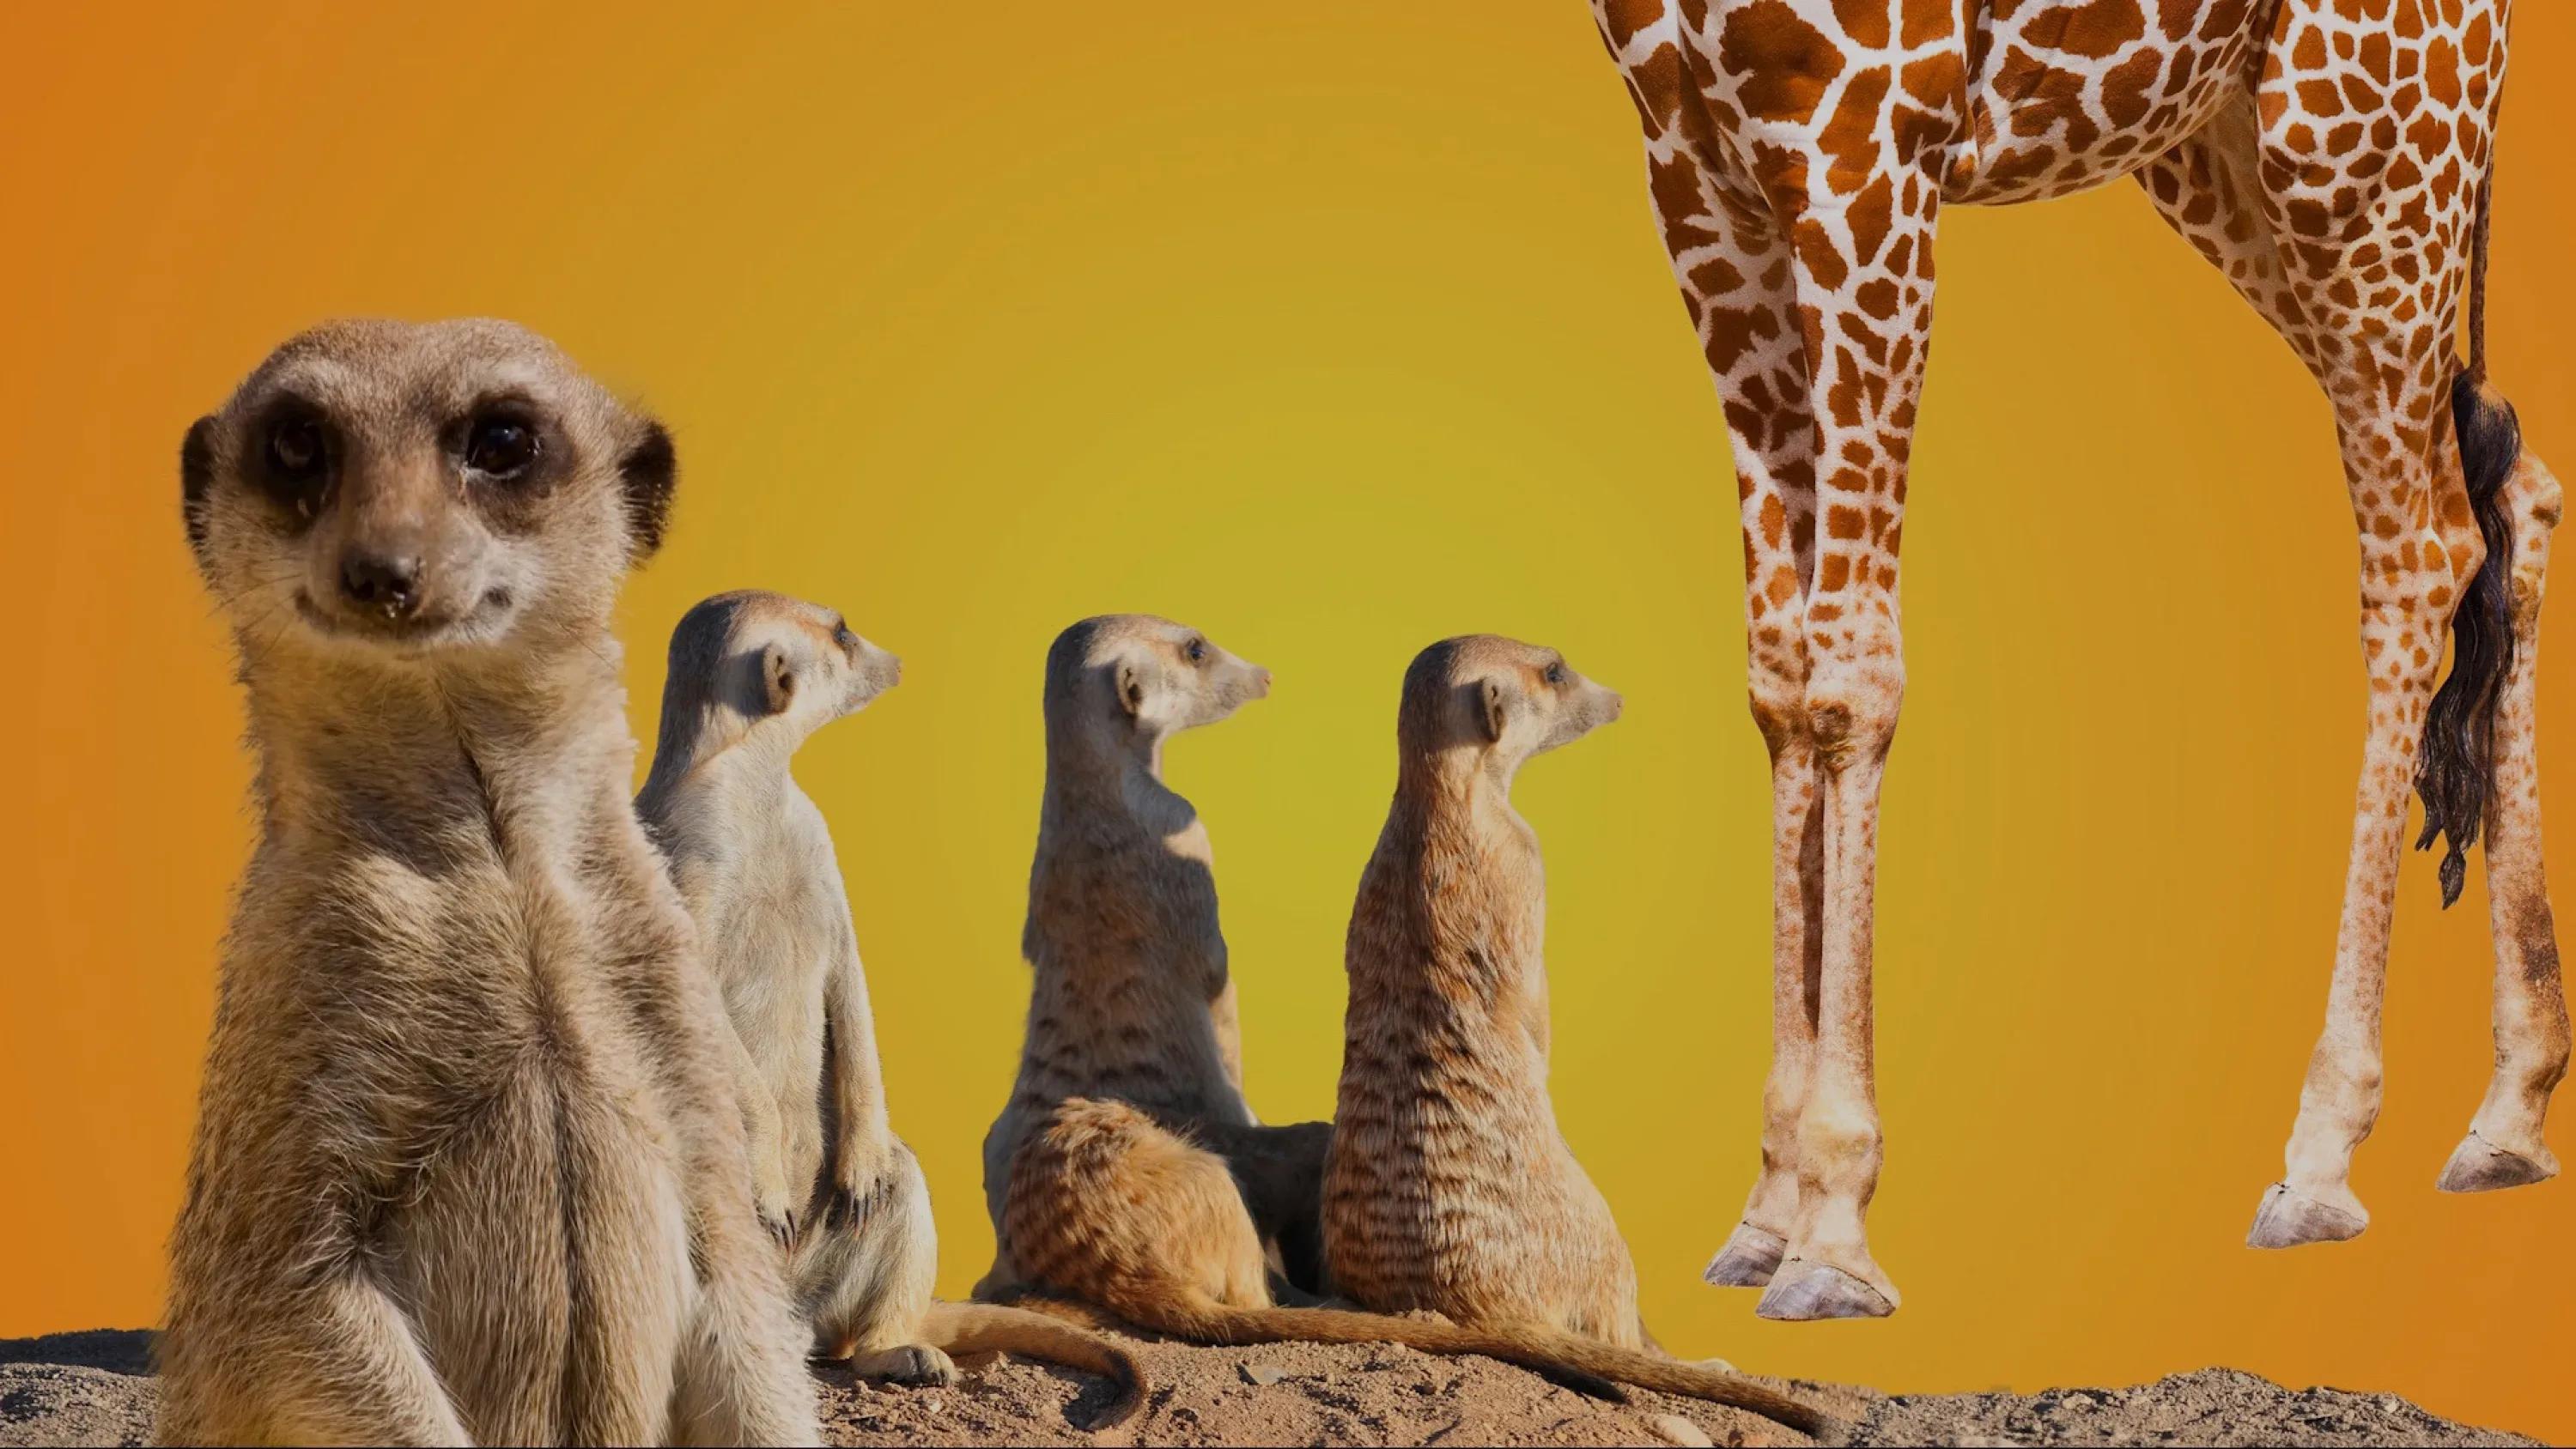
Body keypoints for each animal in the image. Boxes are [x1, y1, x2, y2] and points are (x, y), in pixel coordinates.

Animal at [1589, 0, 2561, 1319]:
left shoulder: (1868, 148)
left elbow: (1852, 680)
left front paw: (1834, 1220)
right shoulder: (1700, 177)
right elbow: (1783, 677)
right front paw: (1770, 1207)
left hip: (2357, 144)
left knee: (2423, 549)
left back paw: (2320, 1158)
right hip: (2228, 157)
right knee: (2511, 494)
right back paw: (2509, 1112)